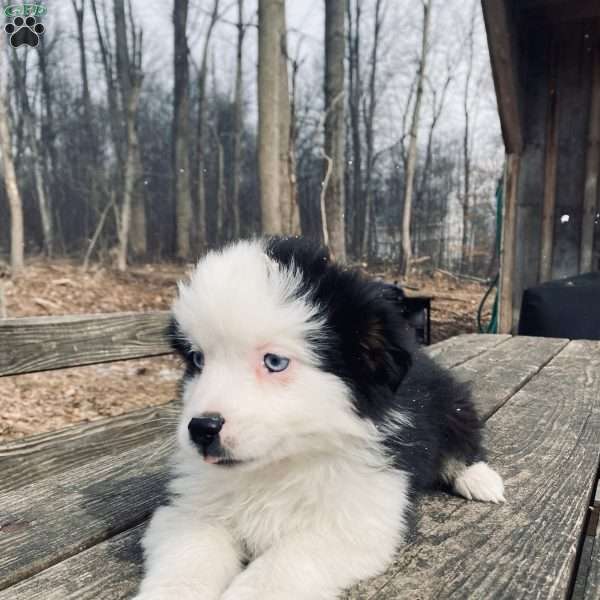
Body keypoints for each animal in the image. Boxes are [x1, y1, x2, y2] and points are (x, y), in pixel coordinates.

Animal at [134, 237, 504, 600]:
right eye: (197, 360)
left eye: (275, 362)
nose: (201, 429)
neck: (278, 467)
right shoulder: (189, 510)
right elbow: (187, 559)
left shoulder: (357, 517)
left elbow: (278, 567)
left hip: (452, 403)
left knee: (465, 440)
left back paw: (480, 479)